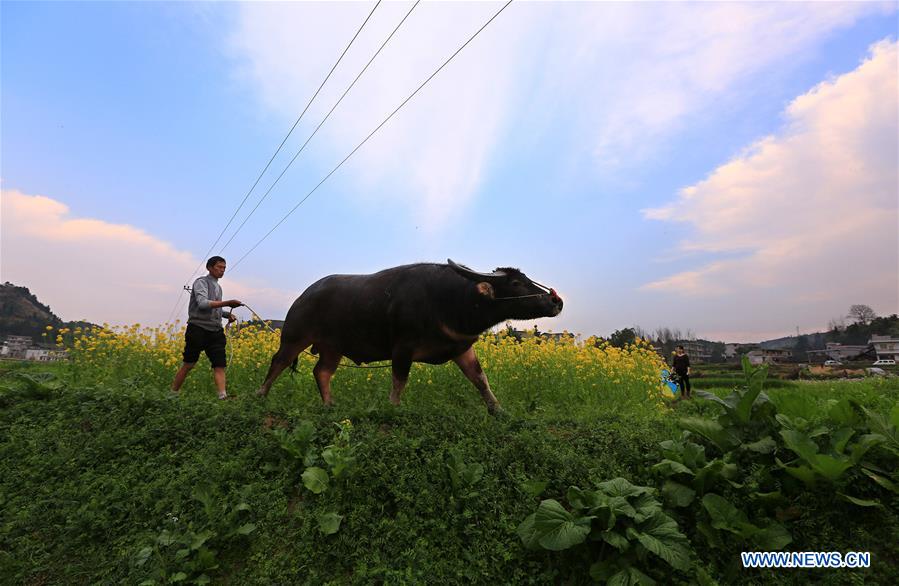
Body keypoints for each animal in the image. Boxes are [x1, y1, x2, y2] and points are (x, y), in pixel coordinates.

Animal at [255, 258, 564, 412]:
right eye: (515, 283)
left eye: (527, 279)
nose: (555, 301)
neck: (451, 300)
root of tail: (304, 295)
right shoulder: (402, 348)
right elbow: (399, 381)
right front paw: (393, 408)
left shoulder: (462, 348)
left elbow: (480, 379)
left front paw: (497, 409)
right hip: (295, 335)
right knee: (278, 362)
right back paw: (260, 396)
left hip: (333, 347)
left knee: (322, 372)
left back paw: (330, 405)